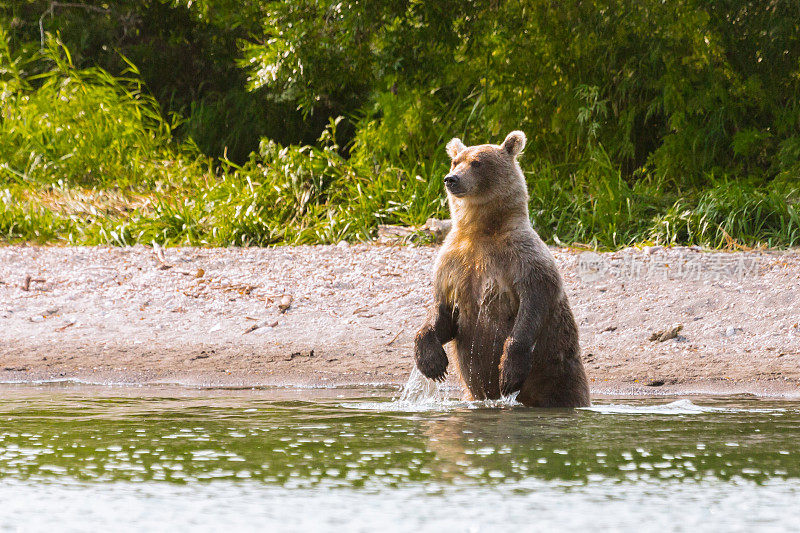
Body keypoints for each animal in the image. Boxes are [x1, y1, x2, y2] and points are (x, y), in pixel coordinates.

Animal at [416, 131, 592, 406]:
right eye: (455, 161)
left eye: (477, 162)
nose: (451, 179)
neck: (482, 228)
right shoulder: (452, 263)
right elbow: (443, 312)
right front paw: (432, 362)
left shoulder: (522, 257)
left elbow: (533, 304)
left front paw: (508, 372)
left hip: (560, 370)